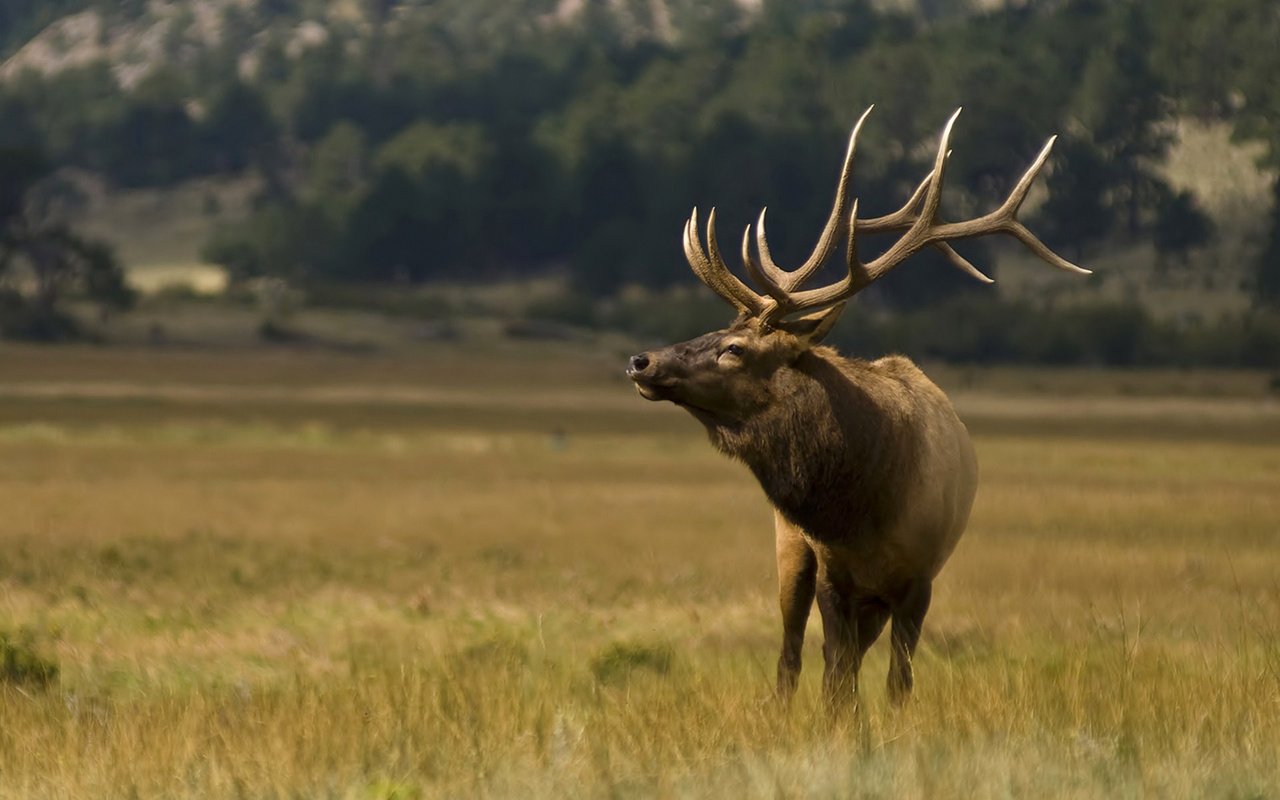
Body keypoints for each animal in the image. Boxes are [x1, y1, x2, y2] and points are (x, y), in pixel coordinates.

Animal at [624, 106, 1085, 706]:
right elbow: (836, 678)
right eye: (718, 330)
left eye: (734, 348)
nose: (641, 361)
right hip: (790, 549)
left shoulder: (919, 579)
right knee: (793, 656)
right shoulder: (831, 573)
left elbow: (895, 682)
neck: (863, 509)